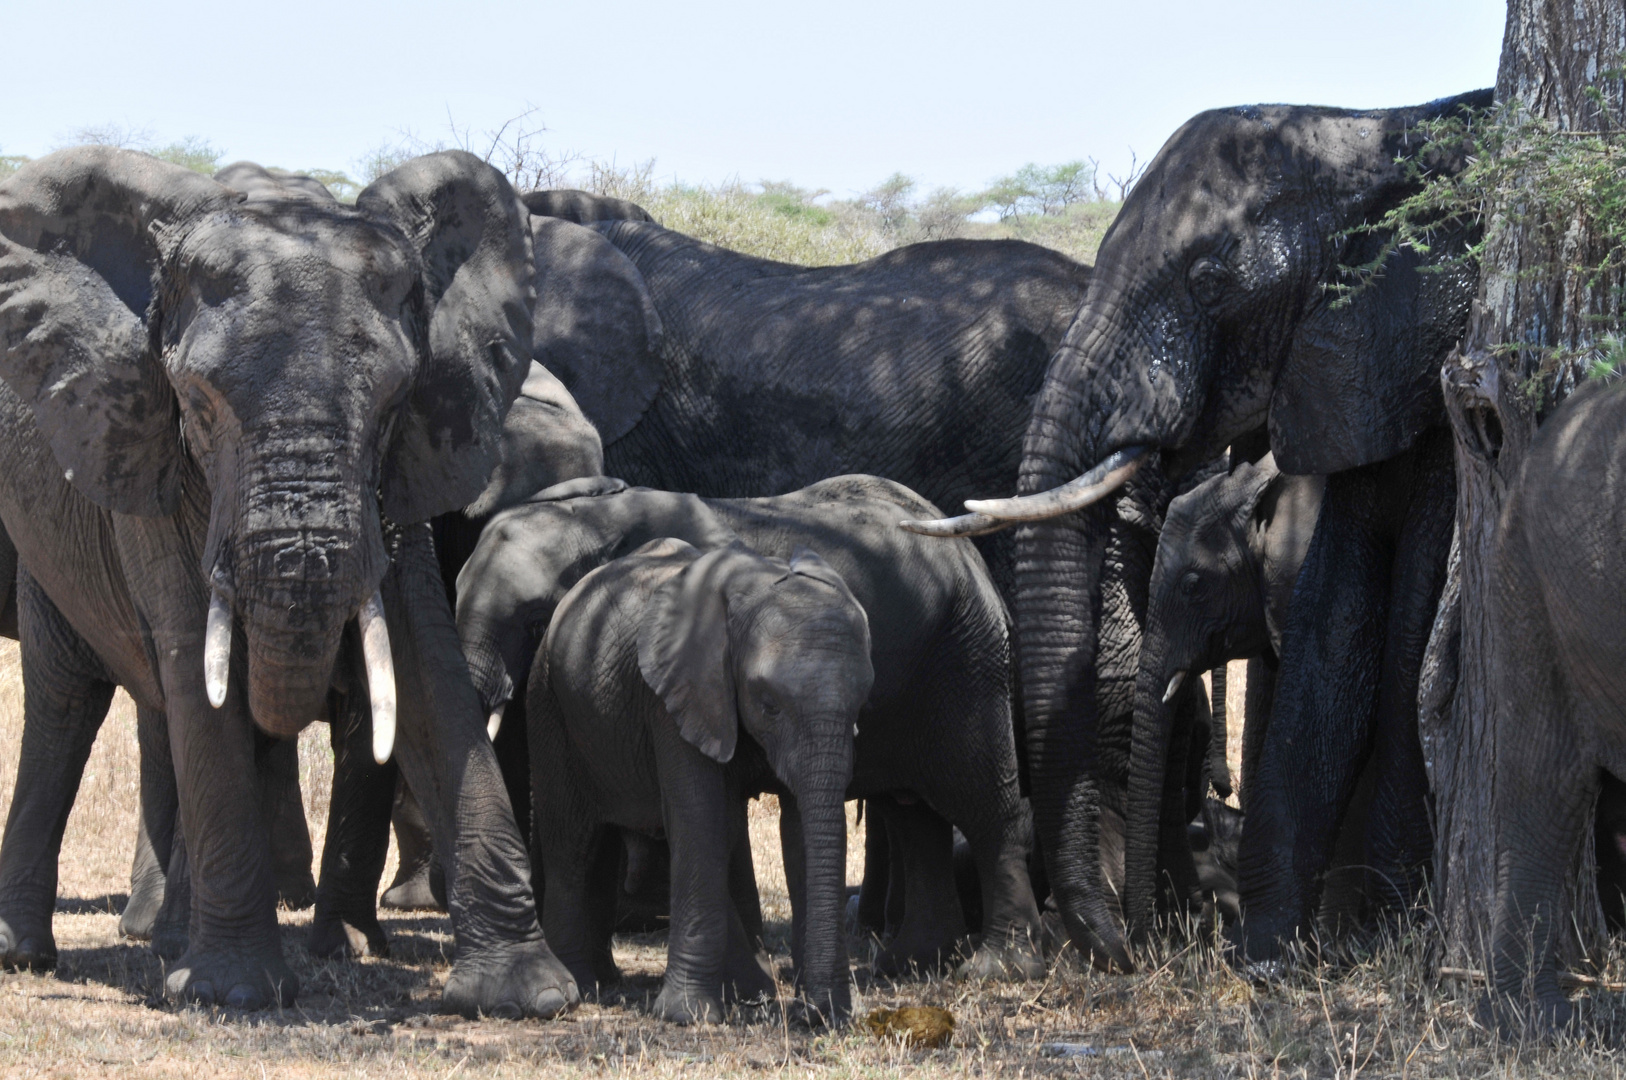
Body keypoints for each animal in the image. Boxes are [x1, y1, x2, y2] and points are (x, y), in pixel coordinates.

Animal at [0, 145, 578, 1014]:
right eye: (197, 402)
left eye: (395, 402)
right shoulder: (148, 448)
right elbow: (194, 667)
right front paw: (234, 993)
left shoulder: (400, 478)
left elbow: (422, 667)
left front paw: (527, 995)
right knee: (72, 699)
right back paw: (37, 955)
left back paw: (174, 945)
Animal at [526, 536, 871, 1027]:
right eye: (768, 704)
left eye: (861, 704)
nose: (815, 1016)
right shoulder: (674, 695)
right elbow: (699, 818)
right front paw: (688, 1015)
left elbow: (797, 830)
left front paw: (808, 1006)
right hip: (548, 699)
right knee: (574, 840)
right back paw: (581, 986)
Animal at [910, 92, 1489, 962]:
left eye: (1211, 283)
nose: (1124, 947)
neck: (1371, 131)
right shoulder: (1348, 376)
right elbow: (1332, 625)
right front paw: (1271, 950)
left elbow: (1403, 640)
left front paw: (1379, 929)